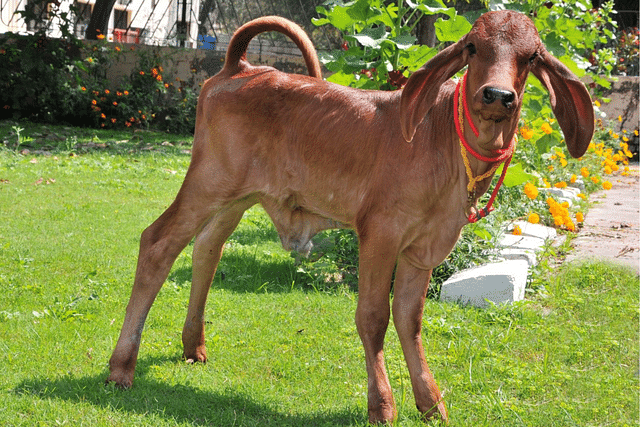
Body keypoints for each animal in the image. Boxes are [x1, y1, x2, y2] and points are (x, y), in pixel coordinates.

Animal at [109, 11, 596, 426]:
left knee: (207, 248)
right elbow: (373, 316)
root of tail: (240, 68)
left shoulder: (423, 250)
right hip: (207, 182)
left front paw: (430, 402)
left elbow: (409, 319)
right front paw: (381, 404)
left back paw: (194, 346)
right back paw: (121, 367)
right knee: (158, 242)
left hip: (236, 198)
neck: (444, 143)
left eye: (531, 56)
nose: (498, 96)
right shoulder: (379, 233)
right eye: (473, 47)